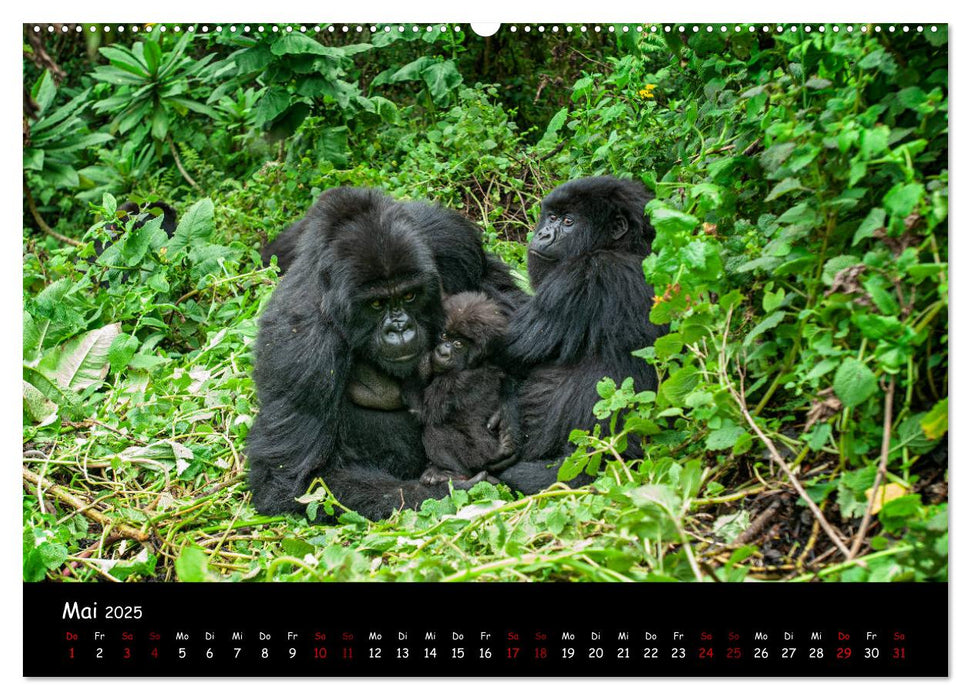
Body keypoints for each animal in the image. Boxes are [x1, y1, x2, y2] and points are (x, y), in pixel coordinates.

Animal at [404, 292, 524, 486]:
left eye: (458, 344)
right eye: (444, 335)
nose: (443, 351)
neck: (474, 364)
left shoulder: (451, 382)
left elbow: (423, 411)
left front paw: (422, 365)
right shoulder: (496, 366)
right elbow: (508, 377)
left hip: (479, 456)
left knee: (433, 432)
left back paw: (452, 475)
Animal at [494, 175, 668, 492]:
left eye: (568, 221)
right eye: (551, 217)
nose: (543, 235)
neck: (625, 245)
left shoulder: (583, 274)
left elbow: (507, 347)